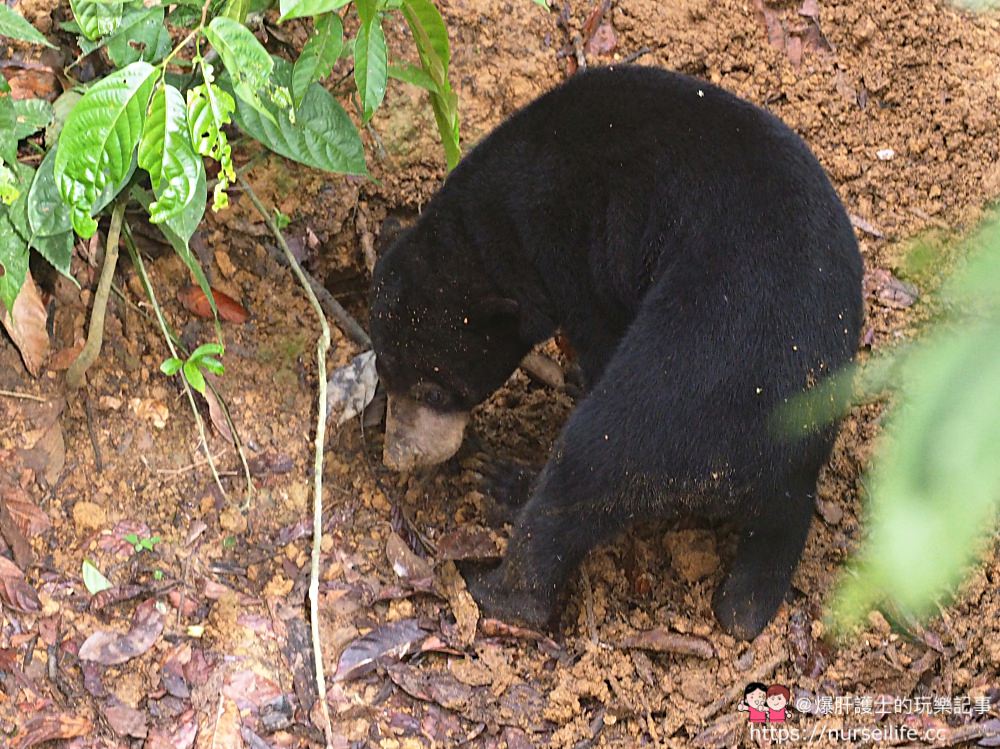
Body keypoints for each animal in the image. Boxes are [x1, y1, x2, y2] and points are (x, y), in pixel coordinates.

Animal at [372, 65, 864, 636]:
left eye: (434, 389)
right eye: (384, 372)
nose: (399, 456)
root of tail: (776, 460)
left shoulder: (574, 245)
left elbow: (600, 334)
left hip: (675, 396)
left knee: (586, 468)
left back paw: (497, 574)